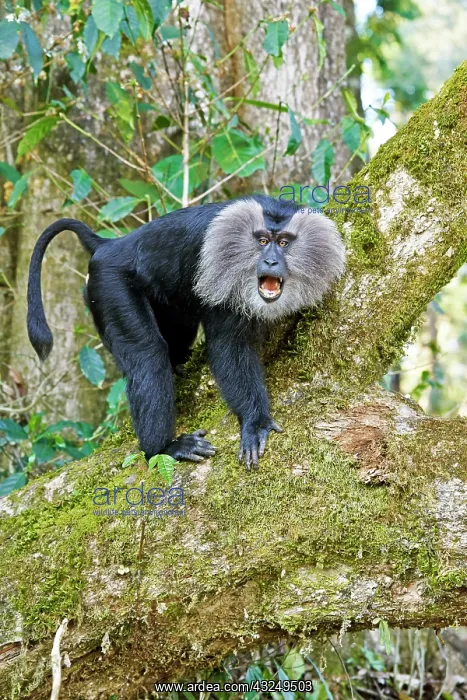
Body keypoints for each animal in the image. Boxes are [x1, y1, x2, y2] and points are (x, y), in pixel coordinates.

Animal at [27, 195, 345, 469]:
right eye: (263, 241)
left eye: (283, 243)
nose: (270, 262)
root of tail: (111, 245)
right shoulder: (222, 277)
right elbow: (228, 348)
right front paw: (255, 420)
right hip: (109, 284)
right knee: (147, 353)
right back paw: (163, 448)